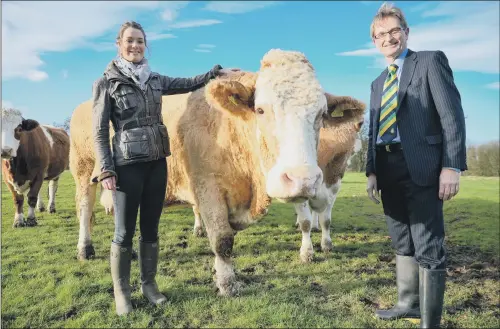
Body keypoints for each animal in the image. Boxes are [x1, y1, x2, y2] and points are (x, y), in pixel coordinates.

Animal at [70, 50, 366, 296]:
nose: (302, 180)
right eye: (261, 109)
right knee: (85, 209)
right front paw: (227, 284)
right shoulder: (207, 188)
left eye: (321, 114)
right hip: (83, 170)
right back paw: (85, 248)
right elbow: (223, 240)